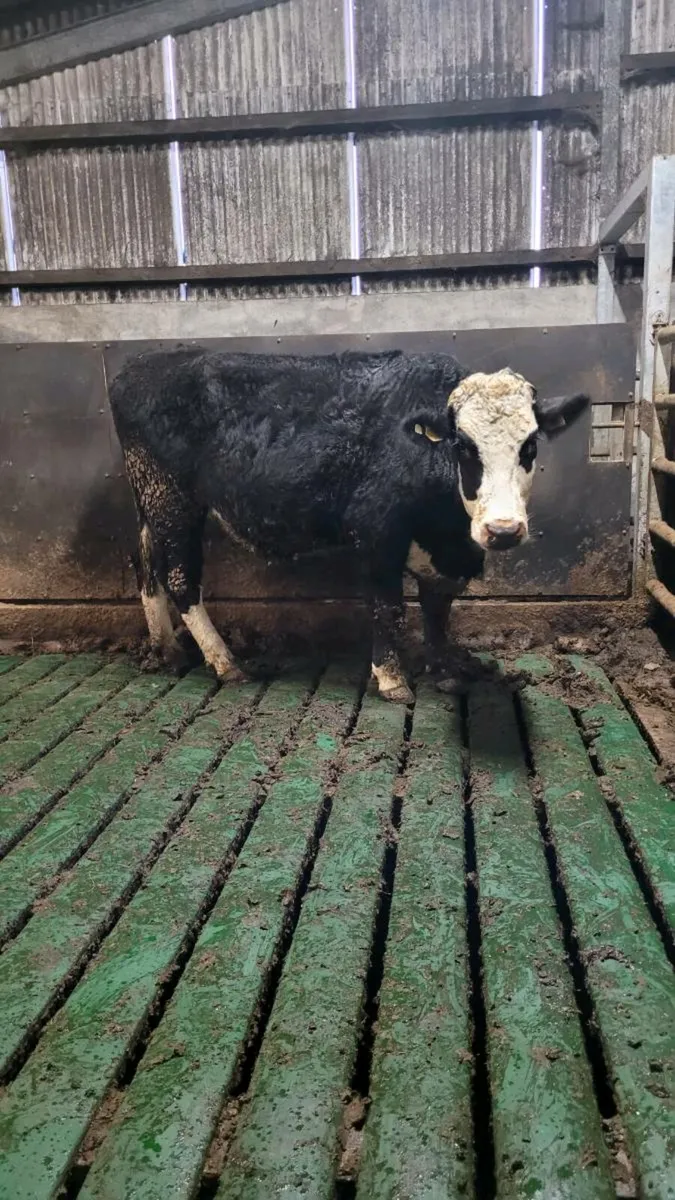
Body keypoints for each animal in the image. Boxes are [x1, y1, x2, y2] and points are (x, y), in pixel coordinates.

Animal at [108, 347, 587, 702]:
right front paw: (392, 679)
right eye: (463, 446)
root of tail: (142, 364)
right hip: (172, 499)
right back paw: (226, 662)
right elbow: (388, 607)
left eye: (530, 445)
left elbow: (437, 607)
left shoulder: (443, 554)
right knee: (179, 578)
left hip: (151, 500)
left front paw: (444, 669)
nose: (503, 530)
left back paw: (167, 649)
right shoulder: (377, 533)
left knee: (146, 564)